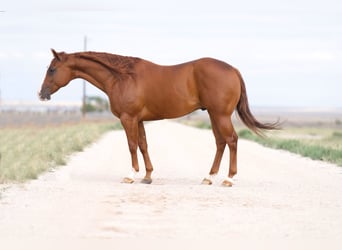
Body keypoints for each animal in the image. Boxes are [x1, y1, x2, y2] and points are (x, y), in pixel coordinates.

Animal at [39, 48, 278, 187]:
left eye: (52, 69)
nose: (41, 94)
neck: (122, 77)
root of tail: (233, 70)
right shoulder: (139, 120)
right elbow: (143, 145)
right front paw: (147, 176)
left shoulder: (128, 118)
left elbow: (132, 146)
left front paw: (131, 175)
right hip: (213, 115)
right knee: (220, 143)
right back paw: (209, 177)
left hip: (220, 115)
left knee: (231, 140)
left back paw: (228, 178)